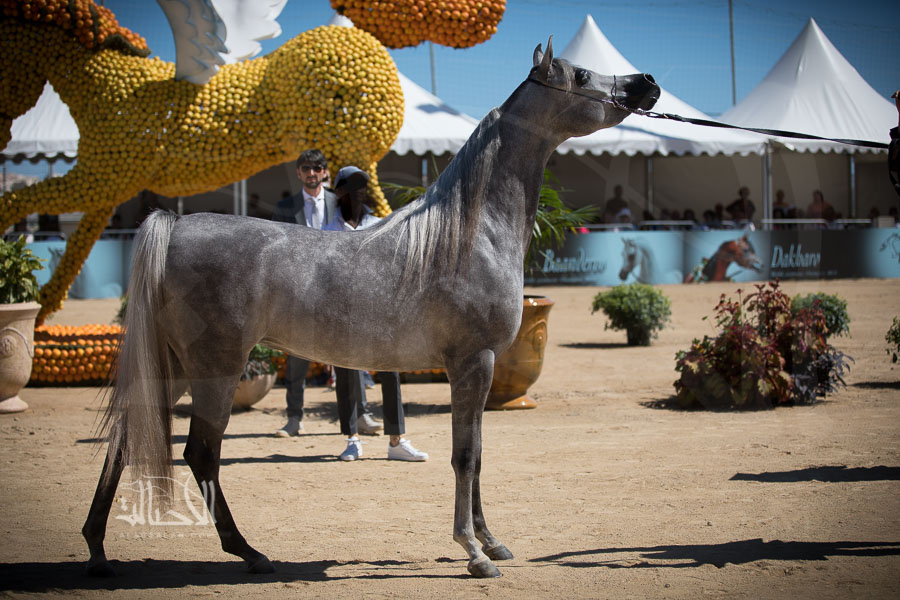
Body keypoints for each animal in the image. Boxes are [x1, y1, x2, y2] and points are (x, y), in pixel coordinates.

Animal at [82, 38, 660, 580]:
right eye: (580, 74)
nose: (646, 83)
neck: (467, 235)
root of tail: (176, 224)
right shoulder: (472, 364)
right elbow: (465, 456)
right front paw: (473, 552)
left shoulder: (479, 368)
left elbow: (477, 455)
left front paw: (492, 542)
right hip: (215, 371)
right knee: (200, 454)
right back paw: (248, 552)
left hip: (173, 367)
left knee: (125, 438)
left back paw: (98, 551)